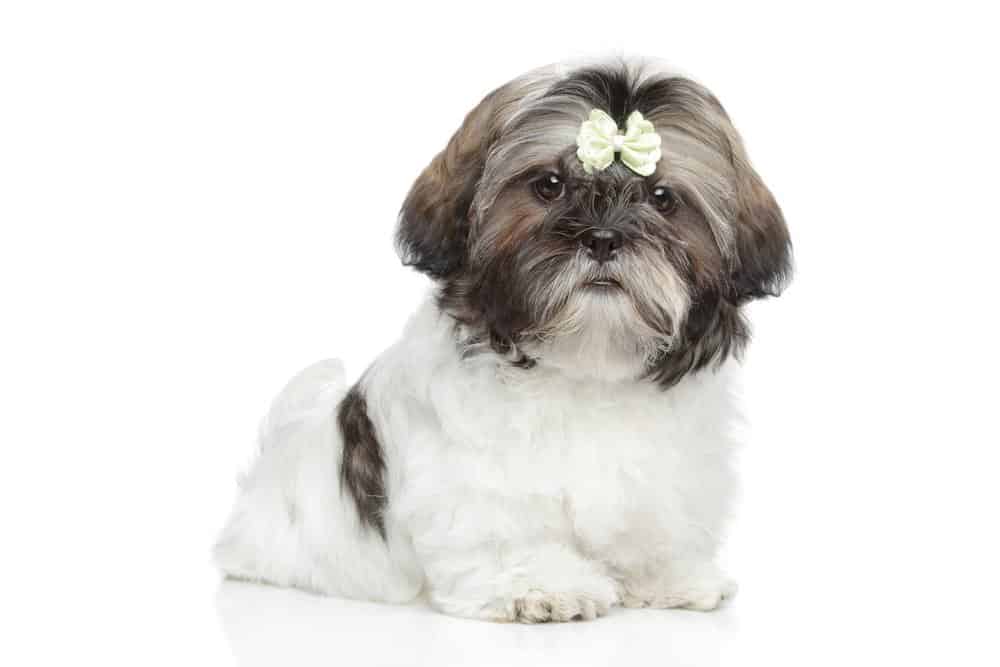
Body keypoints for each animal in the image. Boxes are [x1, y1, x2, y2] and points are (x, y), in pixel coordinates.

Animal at [217, 54, 788, 624]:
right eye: (549, 185)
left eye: (663, 198)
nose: (604, 238)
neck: (586, 363)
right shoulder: (472, 479)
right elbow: (503, 525)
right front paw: (539, 585)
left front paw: (668, 577)